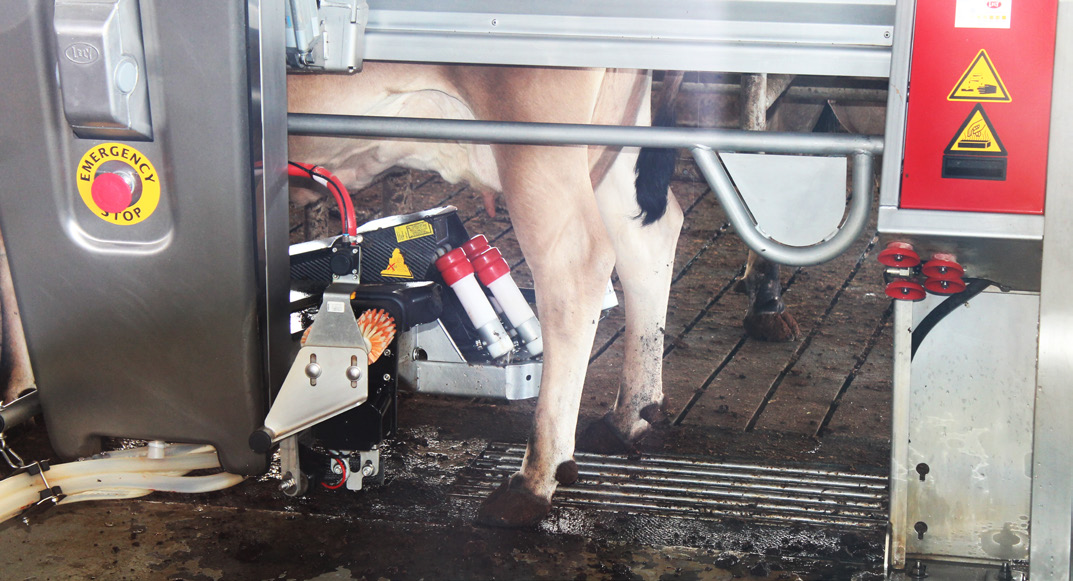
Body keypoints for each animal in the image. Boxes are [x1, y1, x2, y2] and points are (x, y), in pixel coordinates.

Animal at [289, 65, 682, 528]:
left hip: (539, 151)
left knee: (575, 267)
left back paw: (532, 481)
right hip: (615, 138)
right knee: (646, 239)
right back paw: (628, 416)